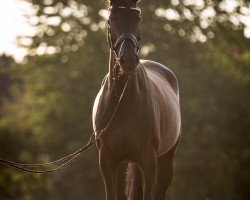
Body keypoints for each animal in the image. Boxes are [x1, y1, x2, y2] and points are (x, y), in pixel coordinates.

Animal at [93, 0, 181, 199]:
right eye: (111, 19)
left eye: (137, 18)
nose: (129, 60)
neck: (123, 101)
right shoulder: (107, 161)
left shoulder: (149, 161)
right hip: (124, 164)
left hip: (166, 161)